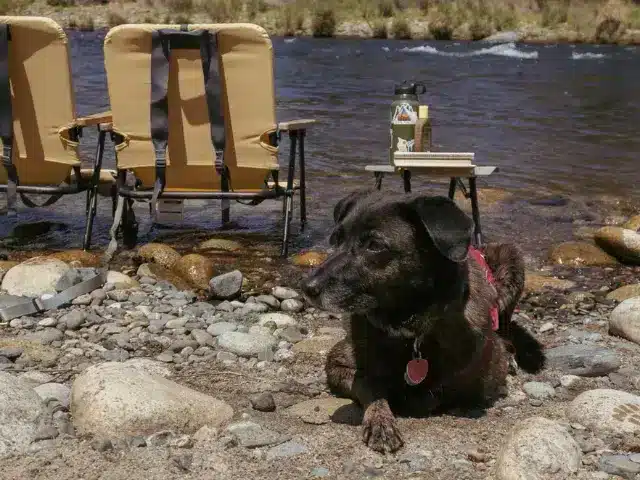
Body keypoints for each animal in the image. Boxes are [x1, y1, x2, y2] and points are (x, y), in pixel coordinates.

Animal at [302, 190, 544, 454]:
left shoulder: (485, 380)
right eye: (336, 240)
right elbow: (369, 385)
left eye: (374, 245)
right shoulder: (338, 363)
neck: (408, 327)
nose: (307, 287)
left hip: (511, 257)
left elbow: (440, 390)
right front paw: (381, 421)